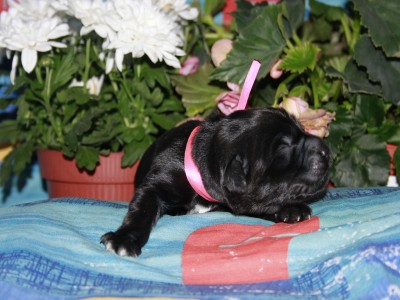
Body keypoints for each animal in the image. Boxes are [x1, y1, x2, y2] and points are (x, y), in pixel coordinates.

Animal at [101, 106, 332, 256]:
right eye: (283, 149)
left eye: (301, 128)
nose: (326, 150)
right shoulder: (157, 183)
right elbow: (142, 209)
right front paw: (125, 238)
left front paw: (291, 209)